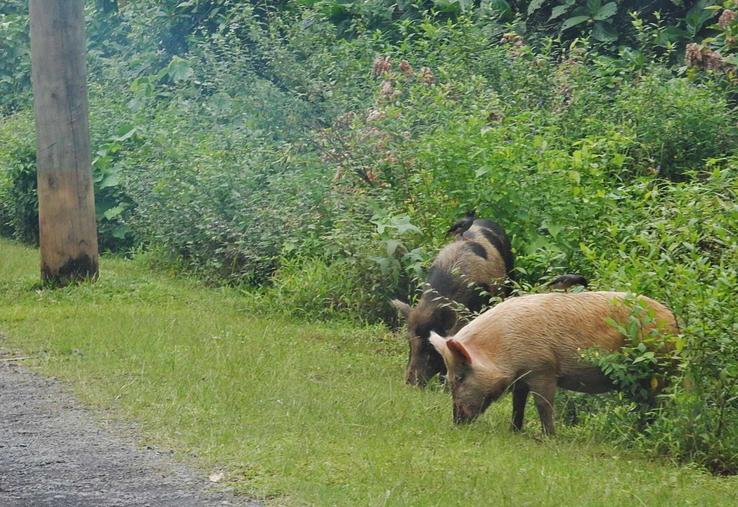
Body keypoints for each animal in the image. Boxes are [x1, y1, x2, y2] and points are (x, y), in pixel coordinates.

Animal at [428, 291, 678, 434]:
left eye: (460, 377)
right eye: (449, 377)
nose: (456, 421)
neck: (502, 347)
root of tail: (674, 321)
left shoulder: (543, 369)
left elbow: (543, 403)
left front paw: (549, 437)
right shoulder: (522, 376)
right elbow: (518, 402)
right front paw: (514, 431)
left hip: (657, 367)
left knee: (656, 402)